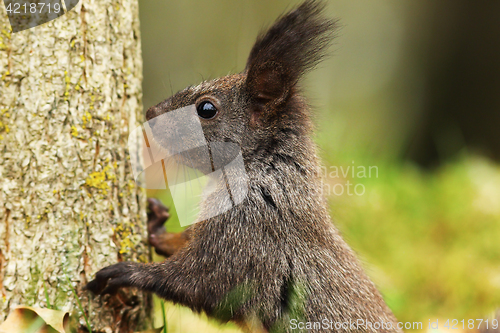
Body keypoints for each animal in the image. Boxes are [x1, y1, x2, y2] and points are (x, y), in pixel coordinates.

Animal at [87, 1, 402, 330]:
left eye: (206, 109)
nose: (150, 113)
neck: (263, 171)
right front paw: (157, 227)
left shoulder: (247, 237)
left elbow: (202, 283)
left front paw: (127, 273)